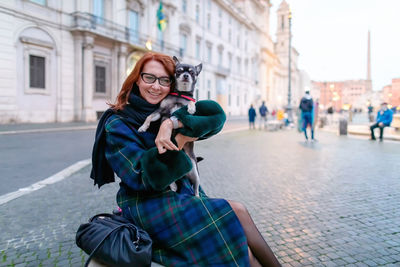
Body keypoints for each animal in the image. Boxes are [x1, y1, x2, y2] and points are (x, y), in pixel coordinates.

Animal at [140, 56, 203, 197]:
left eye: (192, 73)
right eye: (179, 71)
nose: (185, 75)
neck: (180, 94)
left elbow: (190, 104)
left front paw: (191, 108)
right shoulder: (161, 111)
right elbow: (149, 117)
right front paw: (143, 127)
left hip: (195, 173)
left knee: (196, 187)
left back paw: (196, 196)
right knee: (170, 177)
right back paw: (173, 185)